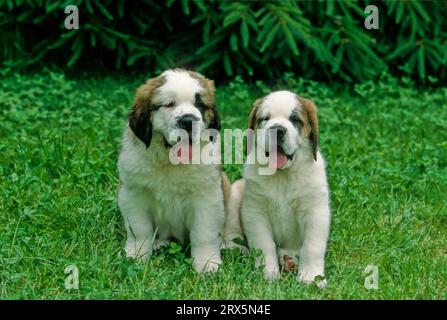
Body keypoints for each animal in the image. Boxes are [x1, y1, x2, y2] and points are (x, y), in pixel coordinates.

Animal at [118, 68, 238, 272]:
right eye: (169, 104)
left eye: (199, 105)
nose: (188, 120)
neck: (170, 162)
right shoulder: (133, 194)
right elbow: (139, 228)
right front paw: (137, 256)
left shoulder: (207, 197)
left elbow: (204, 232)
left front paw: (206, 263)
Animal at [233, 90, 330, 288]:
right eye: (265, 118)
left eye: (295, 119)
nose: (277, 129)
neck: (283, 176)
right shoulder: (255, 212)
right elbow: (264, 245)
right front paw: (267, 273)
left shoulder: (316, 212)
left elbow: (312, 246)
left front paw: (312, 276)